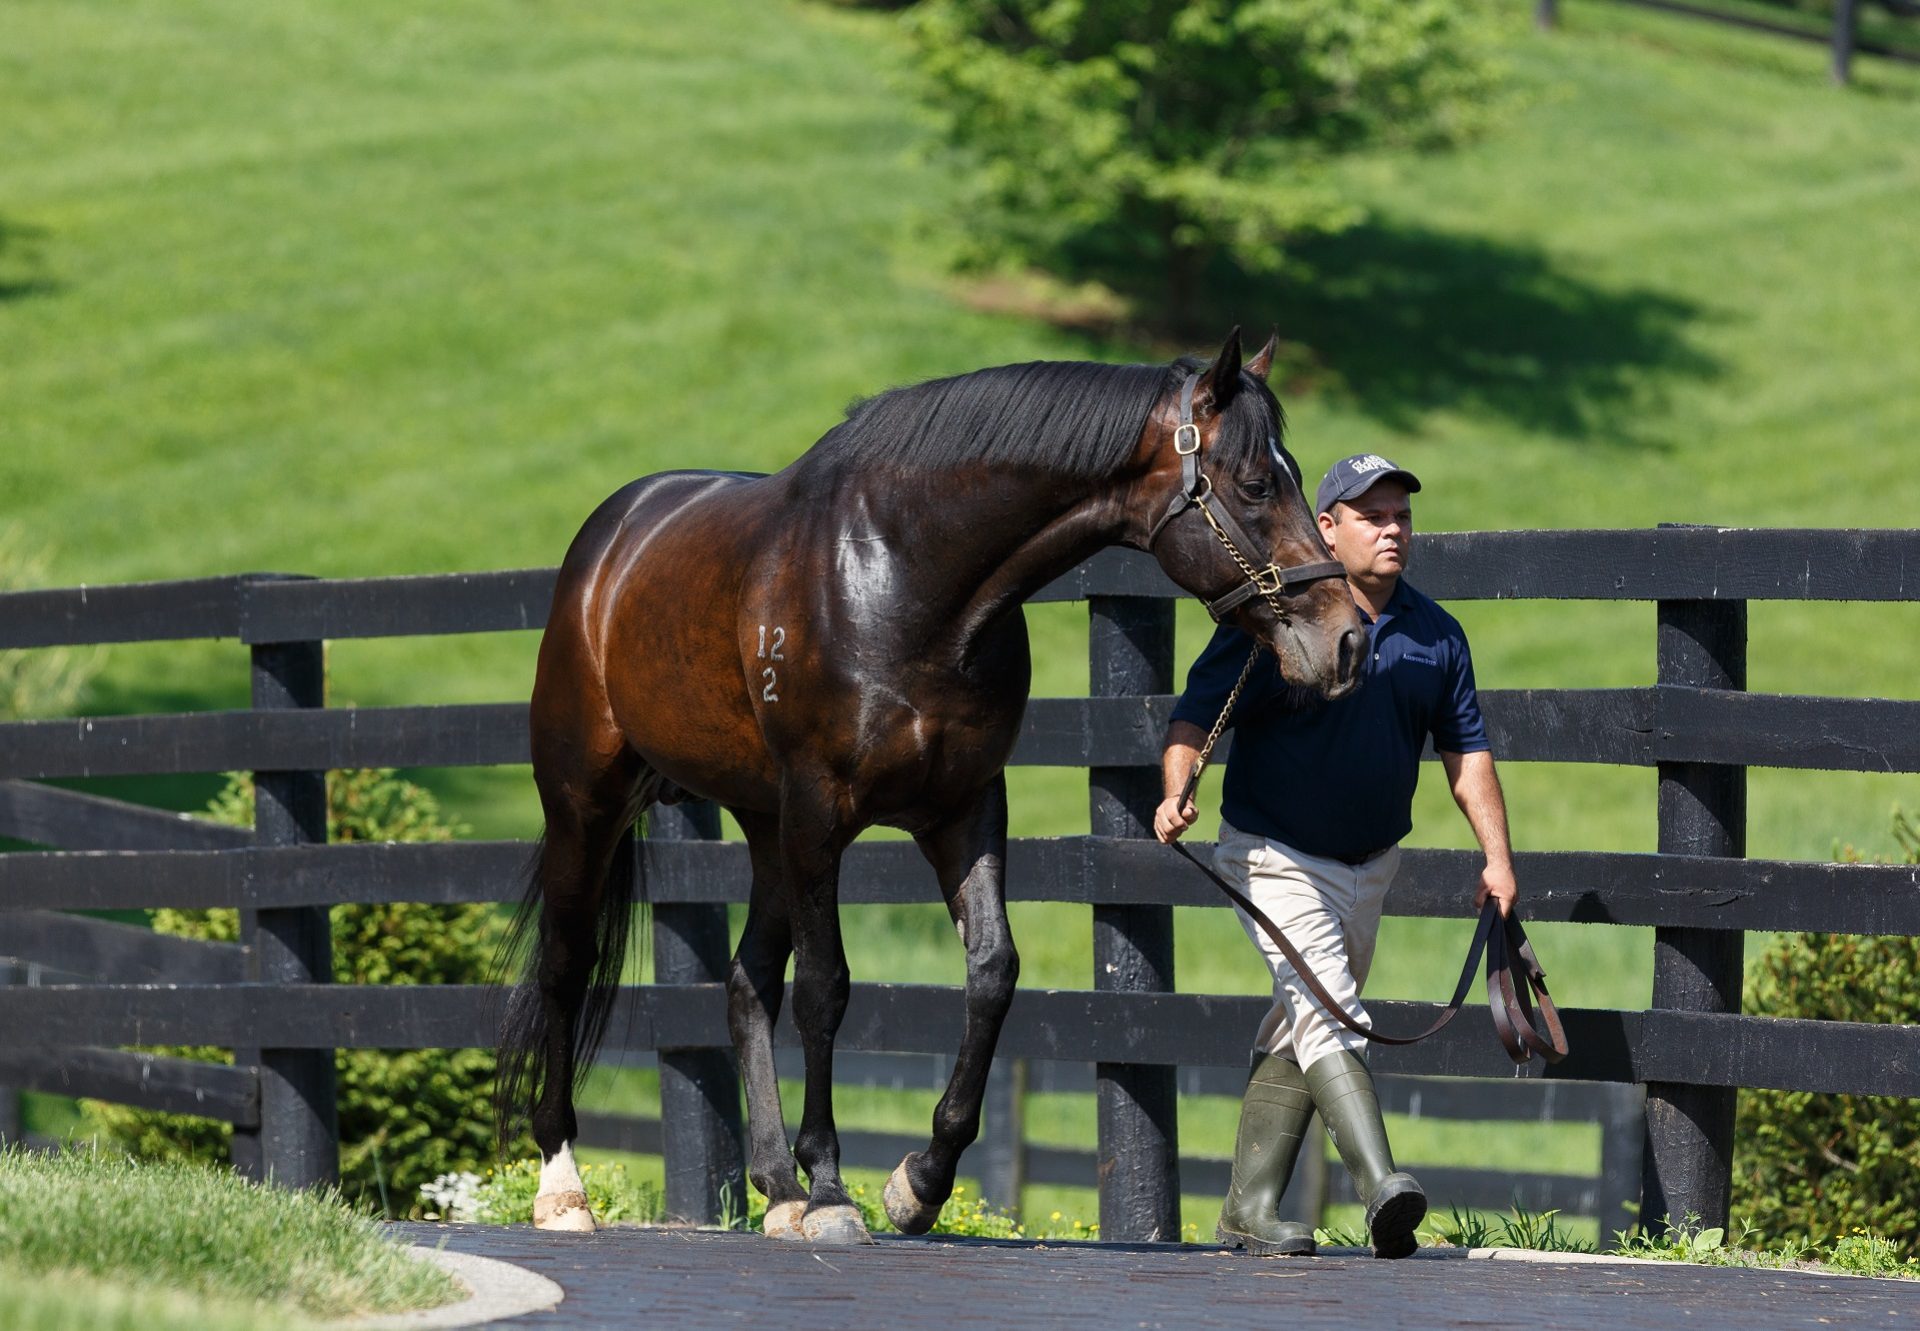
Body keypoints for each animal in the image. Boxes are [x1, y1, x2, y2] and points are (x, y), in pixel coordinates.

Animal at [495, 326, 1367, 1244]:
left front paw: (918, 1181)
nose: (1347, 640)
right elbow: (825, 988)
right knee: (566, 966)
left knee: (743, 984)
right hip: (588, 804)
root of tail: (610, 541)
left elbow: (992, 970)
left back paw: (776, 1187)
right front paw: (834, 1189)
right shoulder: (820, 811)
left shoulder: (965, 807)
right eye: (1257, 483)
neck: (902, 581)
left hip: (765, 826)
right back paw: (565, 1186)